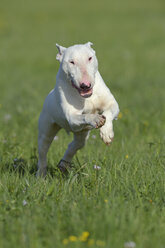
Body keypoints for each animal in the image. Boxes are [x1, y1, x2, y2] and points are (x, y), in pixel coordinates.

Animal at [37, 42, 119, 177]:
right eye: (71, 62)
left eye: (90, 58)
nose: (85, 85)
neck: (87, 98)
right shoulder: (72, 118)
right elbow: (84, 115)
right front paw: (95, 119)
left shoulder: (112, 104)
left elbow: (108, 112)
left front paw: (106, 133)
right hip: (46, 129)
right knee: (43, 151)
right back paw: (41, 175)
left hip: (81, 134)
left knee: (75, 145)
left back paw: (63, 164)